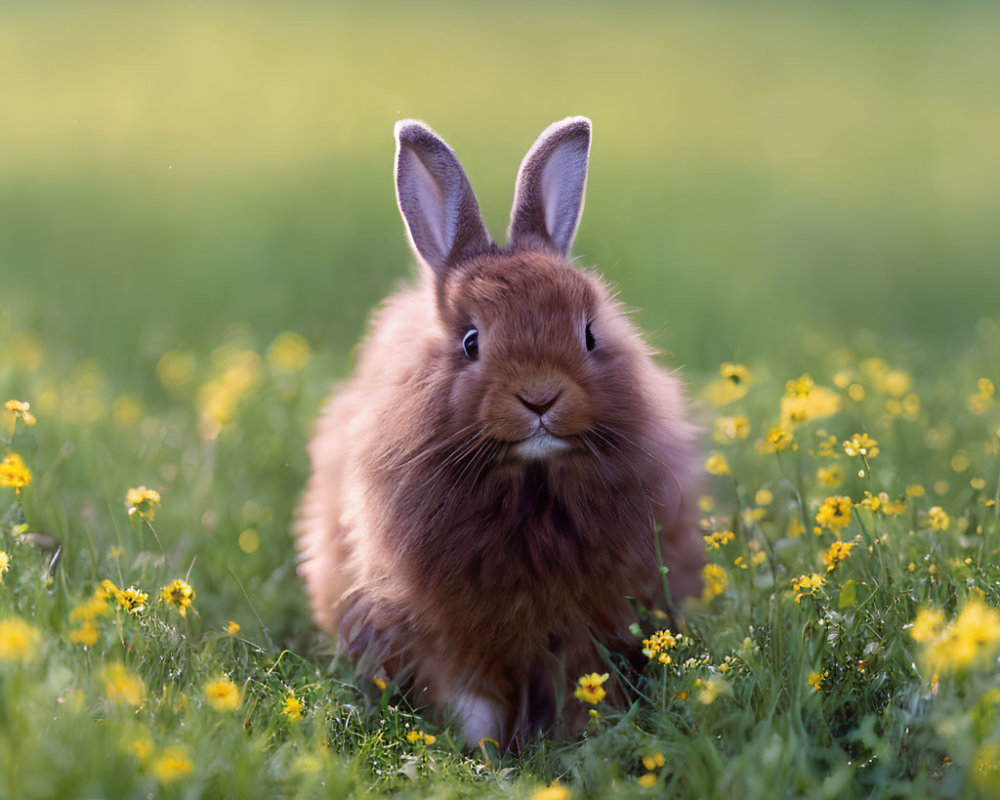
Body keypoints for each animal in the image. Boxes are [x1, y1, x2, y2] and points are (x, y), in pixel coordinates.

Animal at [292, 114, 708, 752]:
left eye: (589, 334)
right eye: (470, 342)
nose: (540, 397)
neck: (530, 482)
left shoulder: (592, 627)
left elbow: (583, 691)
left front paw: (579, 745)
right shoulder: (449, 639)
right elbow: (474, 705)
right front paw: (485, 758)